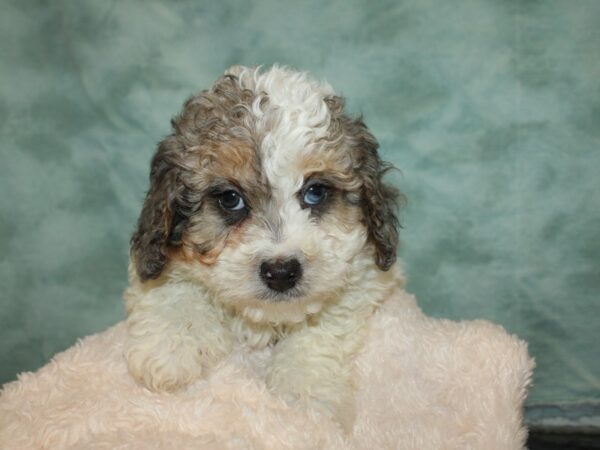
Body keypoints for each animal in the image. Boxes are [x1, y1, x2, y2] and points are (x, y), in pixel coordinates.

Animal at [123, 64, 404, 428]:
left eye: (315, 192)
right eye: (230, 199)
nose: (281, 272)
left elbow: (320, 328)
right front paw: (168, 349)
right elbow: (175, 288)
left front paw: (305, 389)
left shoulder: (364, 276)